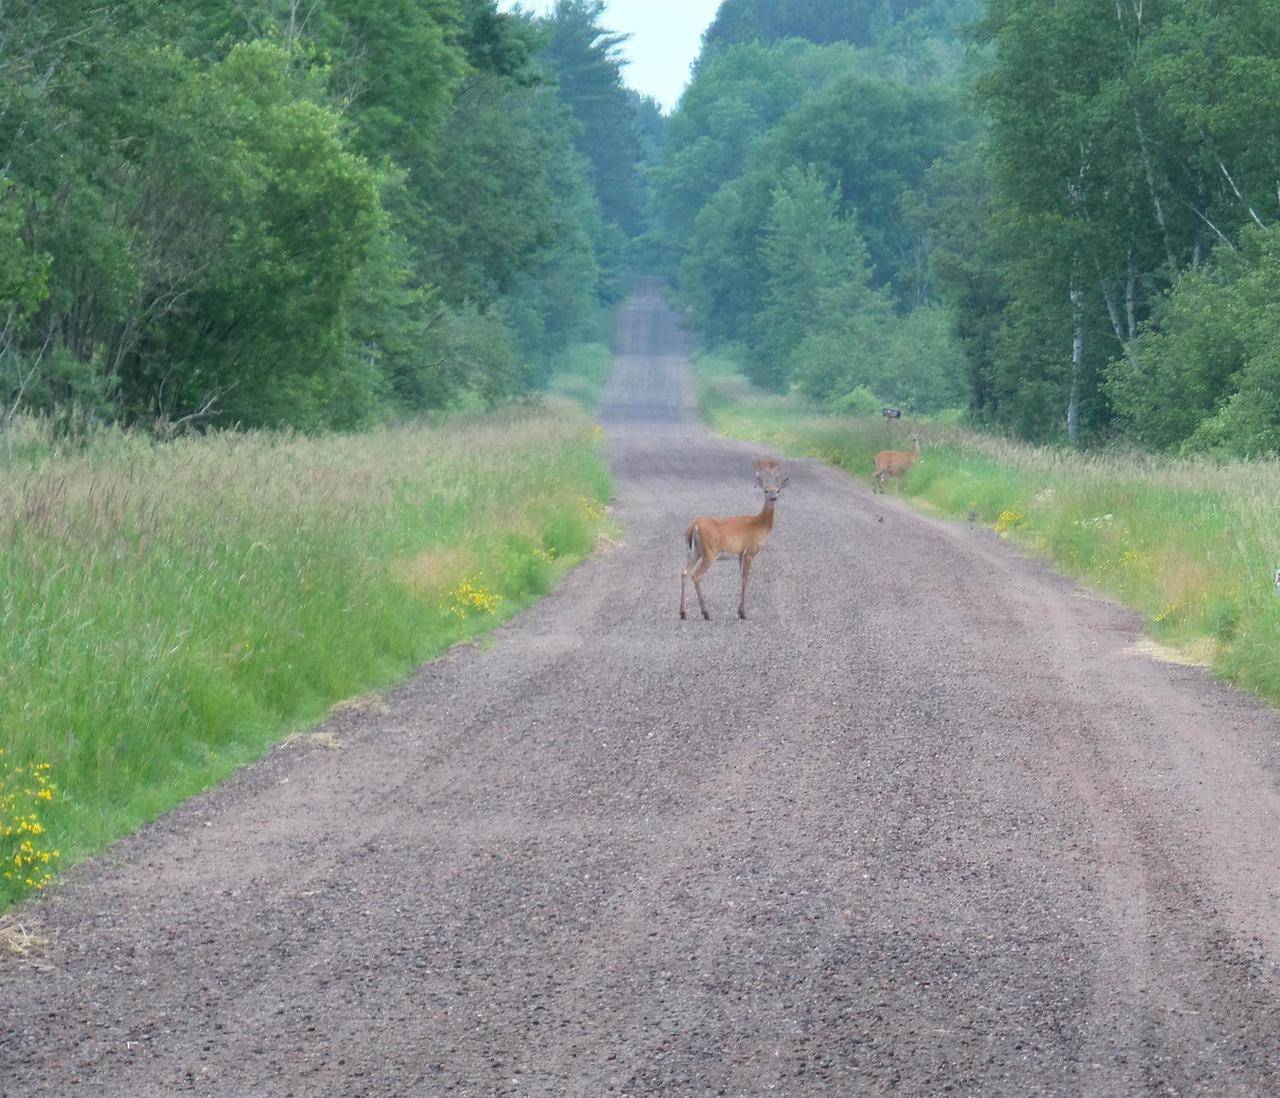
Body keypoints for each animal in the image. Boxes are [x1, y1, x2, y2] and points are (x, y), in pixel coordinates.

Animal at [680, 458, 788, 619]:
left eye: (778, 490)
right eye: (766, 490)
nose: (773, 498)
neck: (760, 524)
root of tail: (694, 526)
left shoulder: (739, 554)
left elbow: (740, 579)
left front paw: (739, 610)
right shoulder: (749, 551)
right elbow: (744, 580)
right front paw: (743, 612)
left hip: (694, 551)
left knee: (684, 572)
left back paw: (682, 613)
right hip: (709, 551)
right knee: (696, 575)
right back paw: (705, 613)